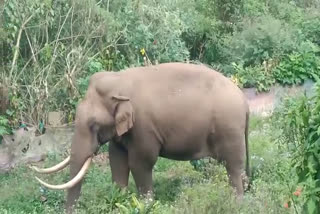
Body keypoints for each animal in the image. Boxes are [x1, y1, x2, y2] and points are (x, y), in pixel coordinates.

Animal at [33, 61, 252, 212]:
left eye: (93, 125)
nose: (72, 211)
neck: (119, 82)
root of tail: (244, 101)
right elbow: (117, 161)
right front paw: (118, 201)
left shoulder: (144, 127)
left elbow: (141, 162)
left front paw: (145, 205)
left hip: (229, 129)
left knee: (233, 166)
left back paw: (237, 203)